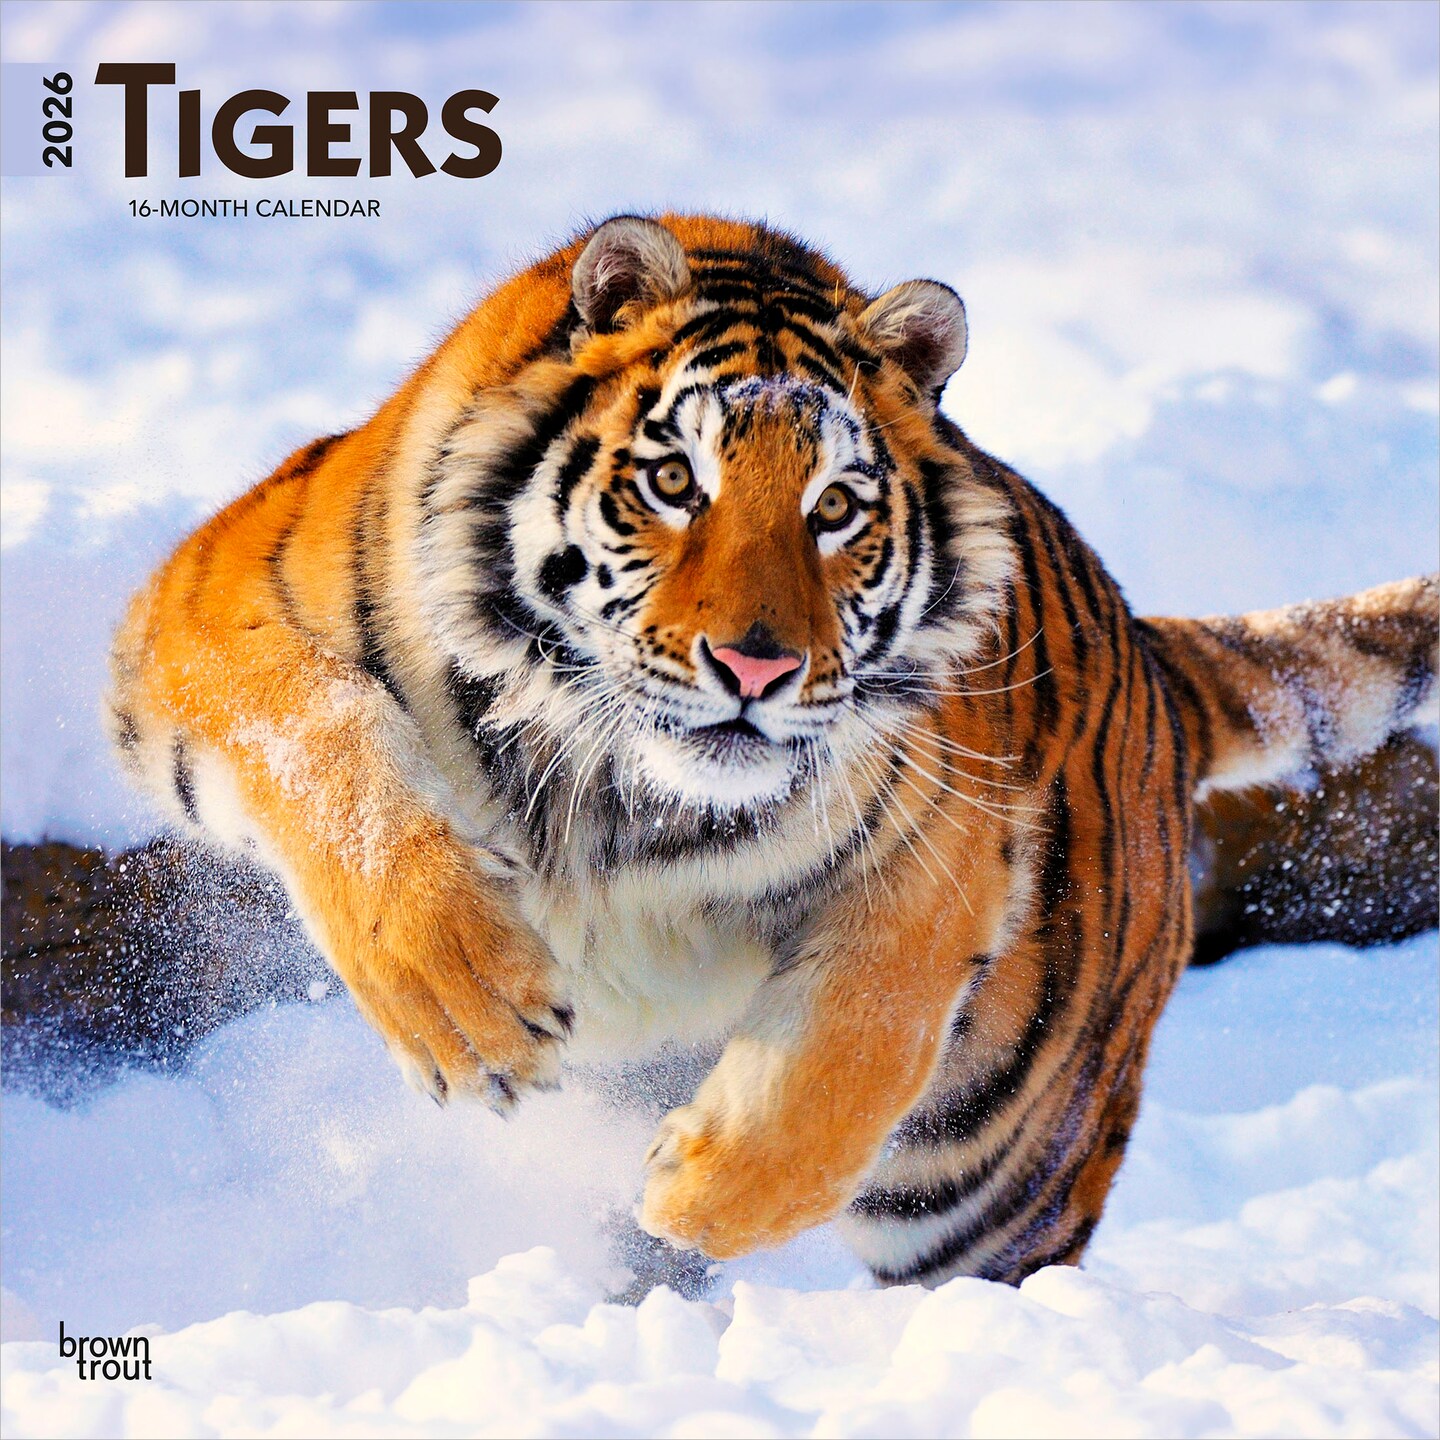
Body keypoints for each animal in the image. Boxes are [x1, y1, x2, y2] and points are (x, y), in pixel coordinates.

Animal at [107, 214, 1439, 1288]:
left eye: (835, 508)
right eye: (671, 480)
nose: (756, 670)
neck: (618, 789)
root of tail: (1153, 655)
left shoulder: (944, 841)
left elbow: (854, 1045)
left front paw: (699, 1192)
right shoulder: (207, 605)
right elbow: (324, 746)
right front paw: (466, 1008)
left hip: (1002, 1163)